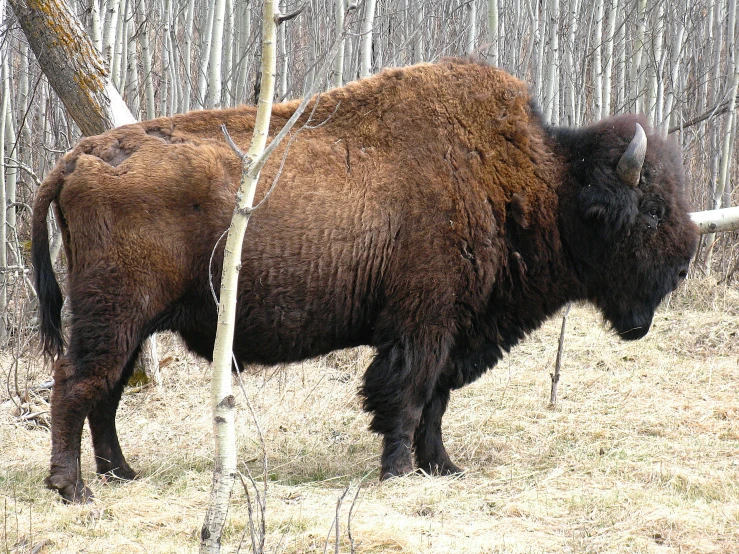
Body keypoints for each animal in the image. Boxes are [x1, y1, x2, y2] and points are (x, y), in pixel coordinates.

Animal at [30, 59, 700, 500]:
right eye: (651, 210)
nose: (683, 265)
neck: (540, 182)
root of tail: (80, 155)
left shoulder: (452, 331)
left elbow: (436, 402)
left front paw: (444, 468)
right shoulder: (422, 324)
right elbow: (408, 397)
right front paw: (399, 471)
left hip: (133, 322)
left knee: (105, 393)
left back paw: (121, 474)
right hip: (114, 314)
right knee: (75, 385)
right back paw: (73, 488)